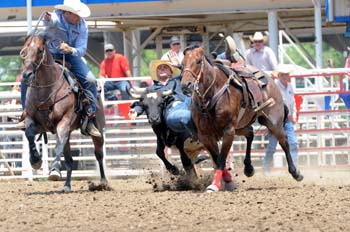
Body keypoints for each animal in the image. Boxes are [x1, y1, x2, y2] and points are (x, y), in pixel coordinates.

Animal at [20, 31, 108, 192]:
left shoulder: (64, 122)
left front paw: (54, 170)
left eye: (40, 50)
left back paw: (103, 182)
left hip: (98, 129)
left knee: (99, 154)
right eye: (23, 51)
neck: (47, 92)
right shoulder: (35, 122)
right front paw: (35, 160)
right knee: (69, 160)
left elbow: (58, 145)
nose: (26, 75)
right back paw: (67, 185)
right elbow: (29, 135)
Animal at [180, 45, 304, 192]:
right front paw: (228, 180)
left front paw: (215, 185)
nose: (185, 85)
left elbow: (221, 159)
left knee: (284, 142)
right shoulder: (205, 135)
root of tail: (271, 82)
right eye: (181, 64)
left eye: (198, 61)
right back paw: (249, 168)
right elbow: (216, 158)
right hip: (241, 126)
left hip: (273, 122)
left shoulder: (228, 131)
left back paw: (296, 173)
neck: (212, 95)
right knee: (250, 133)